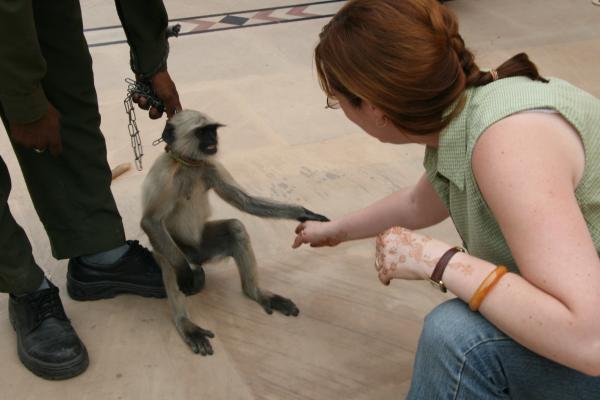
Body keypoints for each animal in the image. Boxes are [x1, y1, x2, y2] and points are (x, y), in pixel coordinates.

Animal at [141, 110, 328, 356]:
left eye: (212, 130)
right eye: (202, 132)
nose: (213, 139)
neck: (189, 165)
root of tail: (196, 258)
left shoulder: (210, 165)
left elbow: (245, 201)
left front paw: (305, 214)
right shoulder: (165, 174)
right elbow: (151, 222)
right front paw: (185, 275)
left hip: (203, 247)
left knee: (235, 228)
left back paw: (256, 293)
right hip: (177, 249)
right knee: (170, 260)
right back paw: (186, 322)